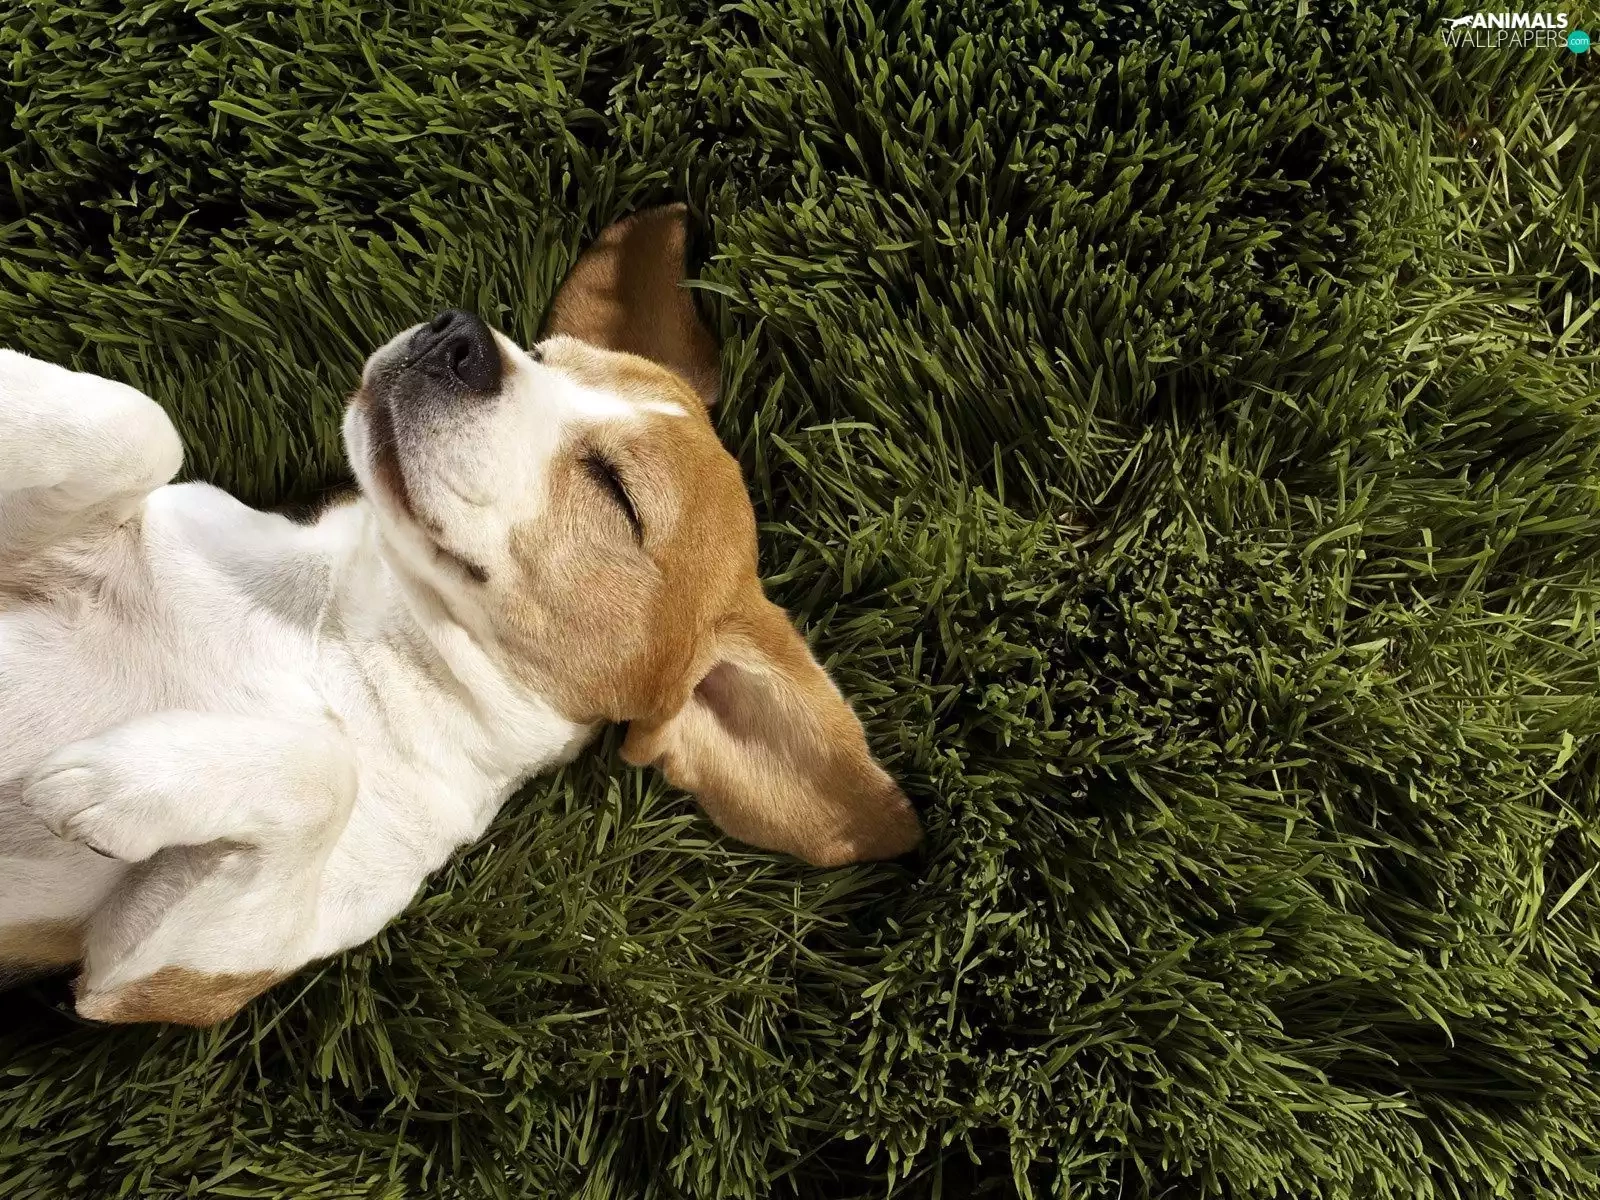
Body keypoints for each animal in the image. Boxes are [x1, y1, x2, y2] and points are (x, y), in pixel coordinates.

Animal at [0, 205, 921, 1025]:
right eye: (544, 357)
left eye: (618, 495)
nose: (460, 335)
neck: (346, 640)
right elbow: (137, 425)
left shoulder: (158, 972)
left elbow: (324, 769)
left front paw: (122, 782)